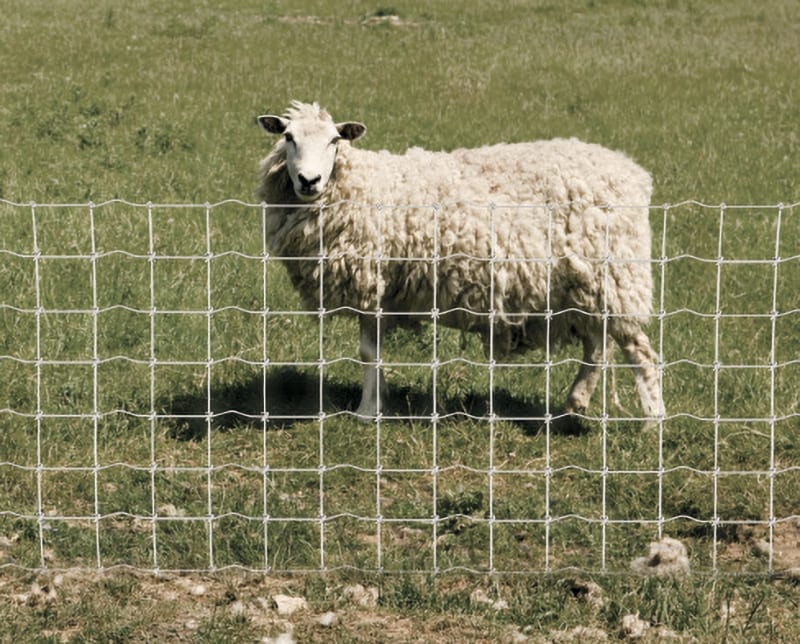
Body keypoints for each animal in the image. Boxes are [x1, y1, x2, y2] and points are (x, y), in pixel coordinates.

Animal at [256, 101, 664, 423]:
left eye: (334, 141)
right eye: (288, 137)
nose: (309, 180)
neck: (363, 187)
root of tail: (634, 174)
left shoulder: (373, 282)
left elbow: (368, 353)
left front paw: (366, 413)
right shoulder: (383, 292)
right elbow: (374, 353)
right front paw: (379, 401)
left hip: (616, 277)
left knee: (639, 351)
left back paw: (651, 422)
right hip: (585, 286)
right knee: (599, 345)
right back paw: (575, 403)